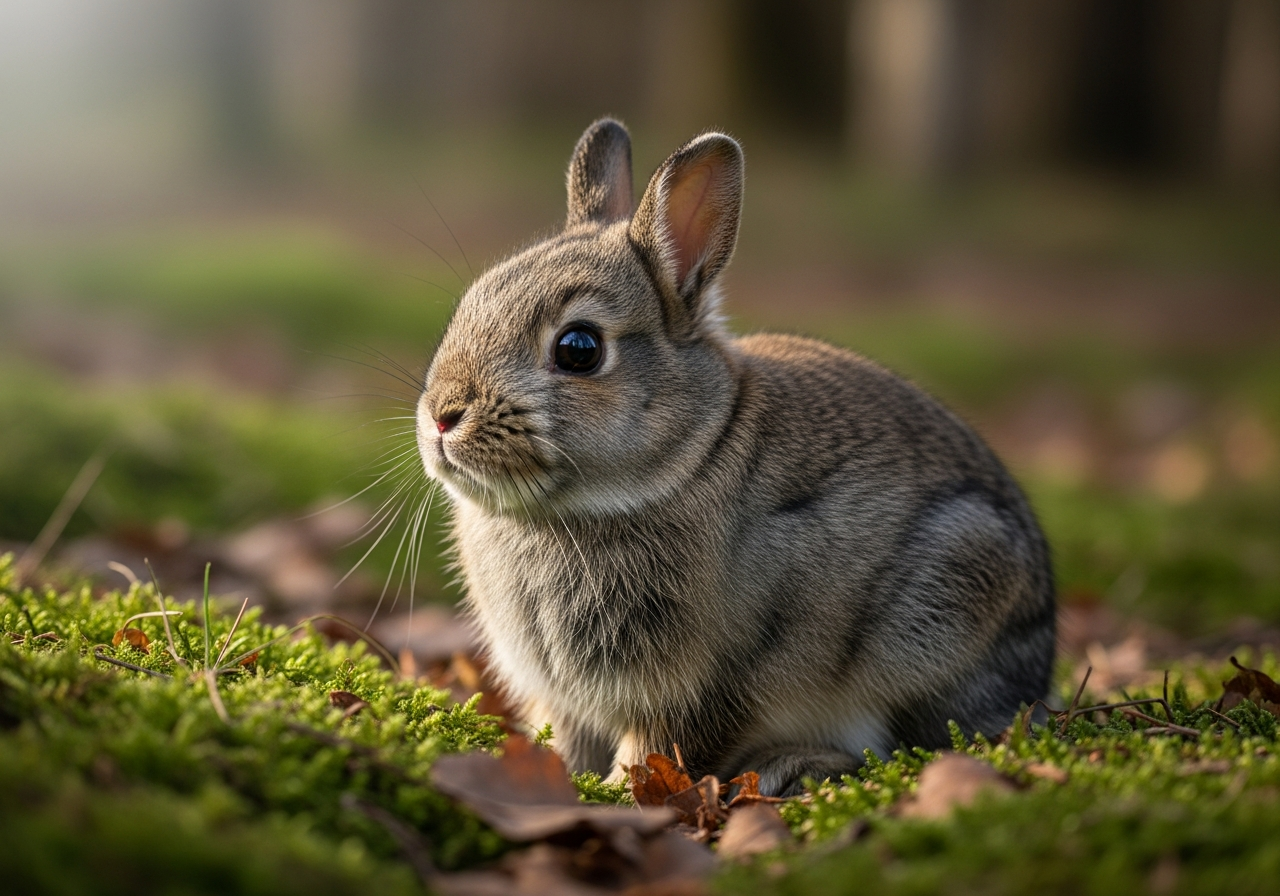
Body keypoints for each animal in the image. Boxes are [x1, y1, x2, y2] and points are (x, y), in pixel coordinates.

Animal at [415, 118, 1055, 797]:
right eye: (467, 306)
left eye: (579, 348)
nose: (442, 417)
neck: (685, 459)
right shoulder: (565, 700)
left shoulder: (711, 684)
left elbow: (665, 744)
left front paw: (617, 792)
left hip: (947, 600)